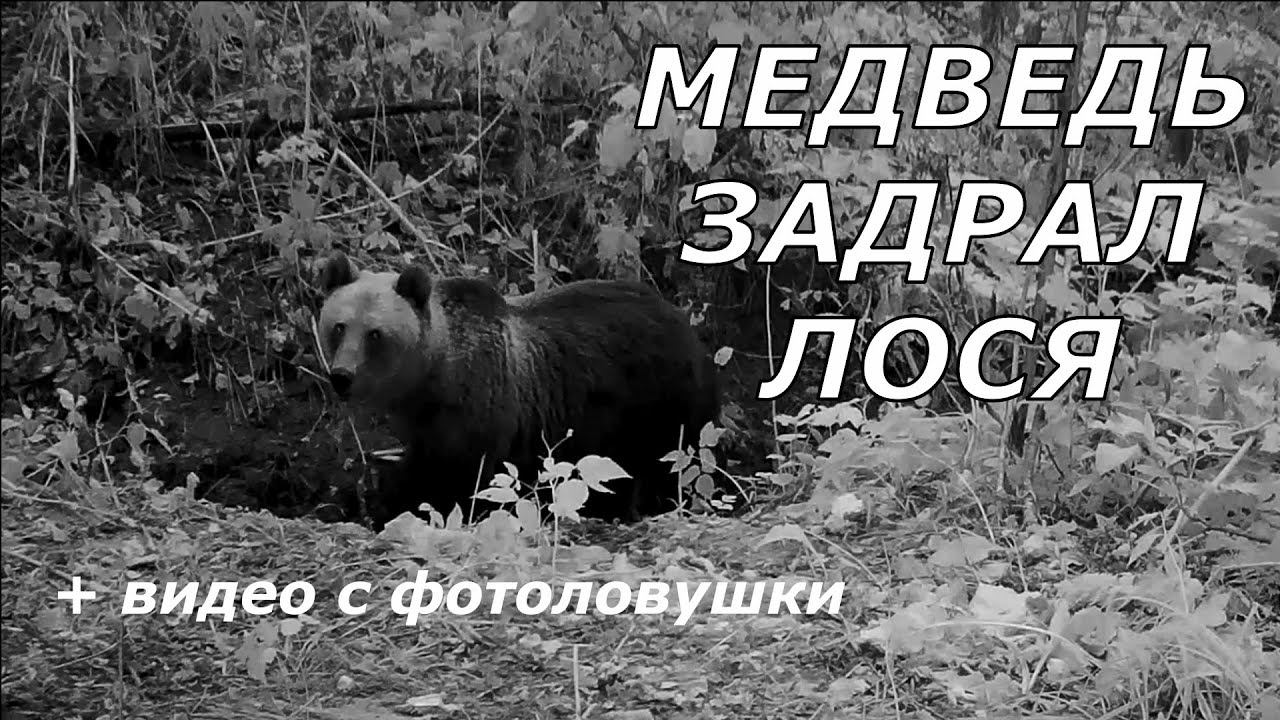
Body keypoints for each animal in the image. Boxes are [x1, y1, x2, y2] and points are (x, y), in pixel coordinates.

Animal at [316, 252, 720, 527]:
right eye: (339, 326)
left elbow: (457, 479)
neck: (433, 374)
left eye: (375, 333)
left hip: (663, 403)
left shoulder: (478, 408)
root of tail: (682, 320)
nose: (342, 375)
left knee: (674, 466)